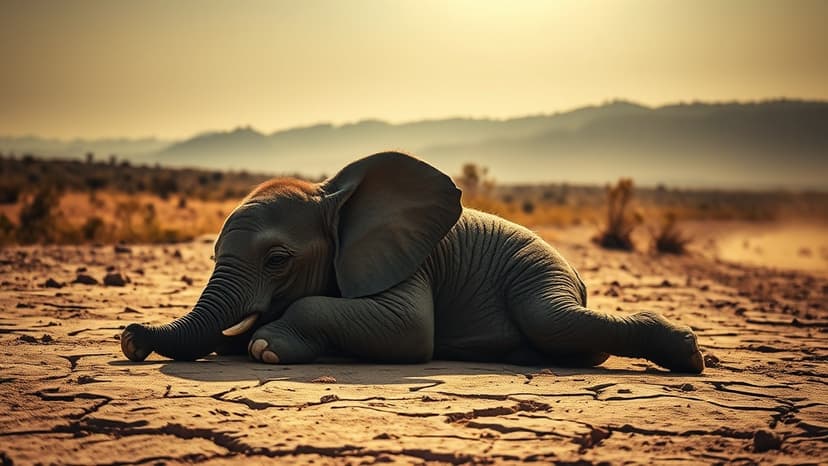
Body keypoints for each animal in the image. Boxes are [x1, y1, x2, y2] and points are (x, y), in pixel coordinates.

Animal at [121, 151, 704, 373]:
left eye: (277, 260)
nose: (129, 337)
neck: (334, 197)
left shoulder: (409, 263)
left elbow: (409, 330)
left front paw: (268, 348)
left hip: (538, 271)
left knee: (552, 320)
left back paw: (688, 355)